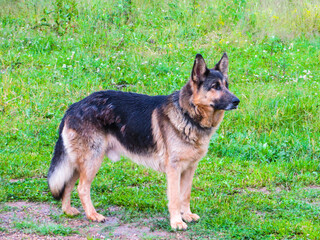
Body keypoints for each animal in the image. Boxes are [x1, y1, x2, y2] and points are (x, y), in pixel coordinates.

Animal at [48, 53, 240, 230]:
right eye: (215, 86)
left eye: (226, 85)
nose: (237, 101)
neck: (188, 113)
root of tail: (74, 106)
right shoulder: (174, 170)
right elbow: (175, 198)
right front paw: (177, 222)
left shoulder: (189, 168)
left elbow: (185, 195)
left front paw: (187, 215)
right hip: (92, 161)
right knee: (81, 188)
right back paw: (92, 215)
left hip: (79, 163)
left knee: (68, 184)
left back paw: (67, 210)